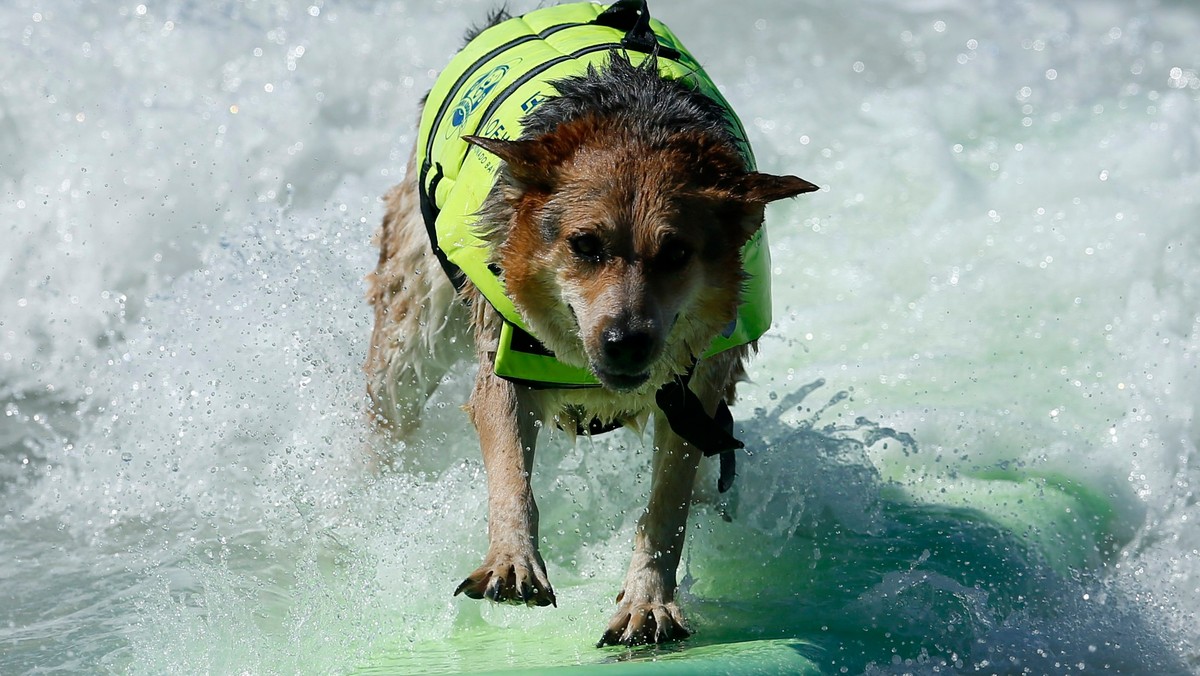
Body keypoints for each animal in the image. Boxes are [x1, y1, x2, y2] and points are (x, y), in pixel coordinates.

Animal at [362, 1, 816, 643]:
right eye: (584, 245)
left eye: (676, 253)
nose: (626, 341)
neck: (635, 119)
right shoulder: (506, 360)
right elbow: (510, 468)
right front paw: (513, 557)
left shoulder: (694, 397)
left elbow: (667, 505)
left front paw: (649, 601)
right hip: (413, 325)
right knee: (392, 395)